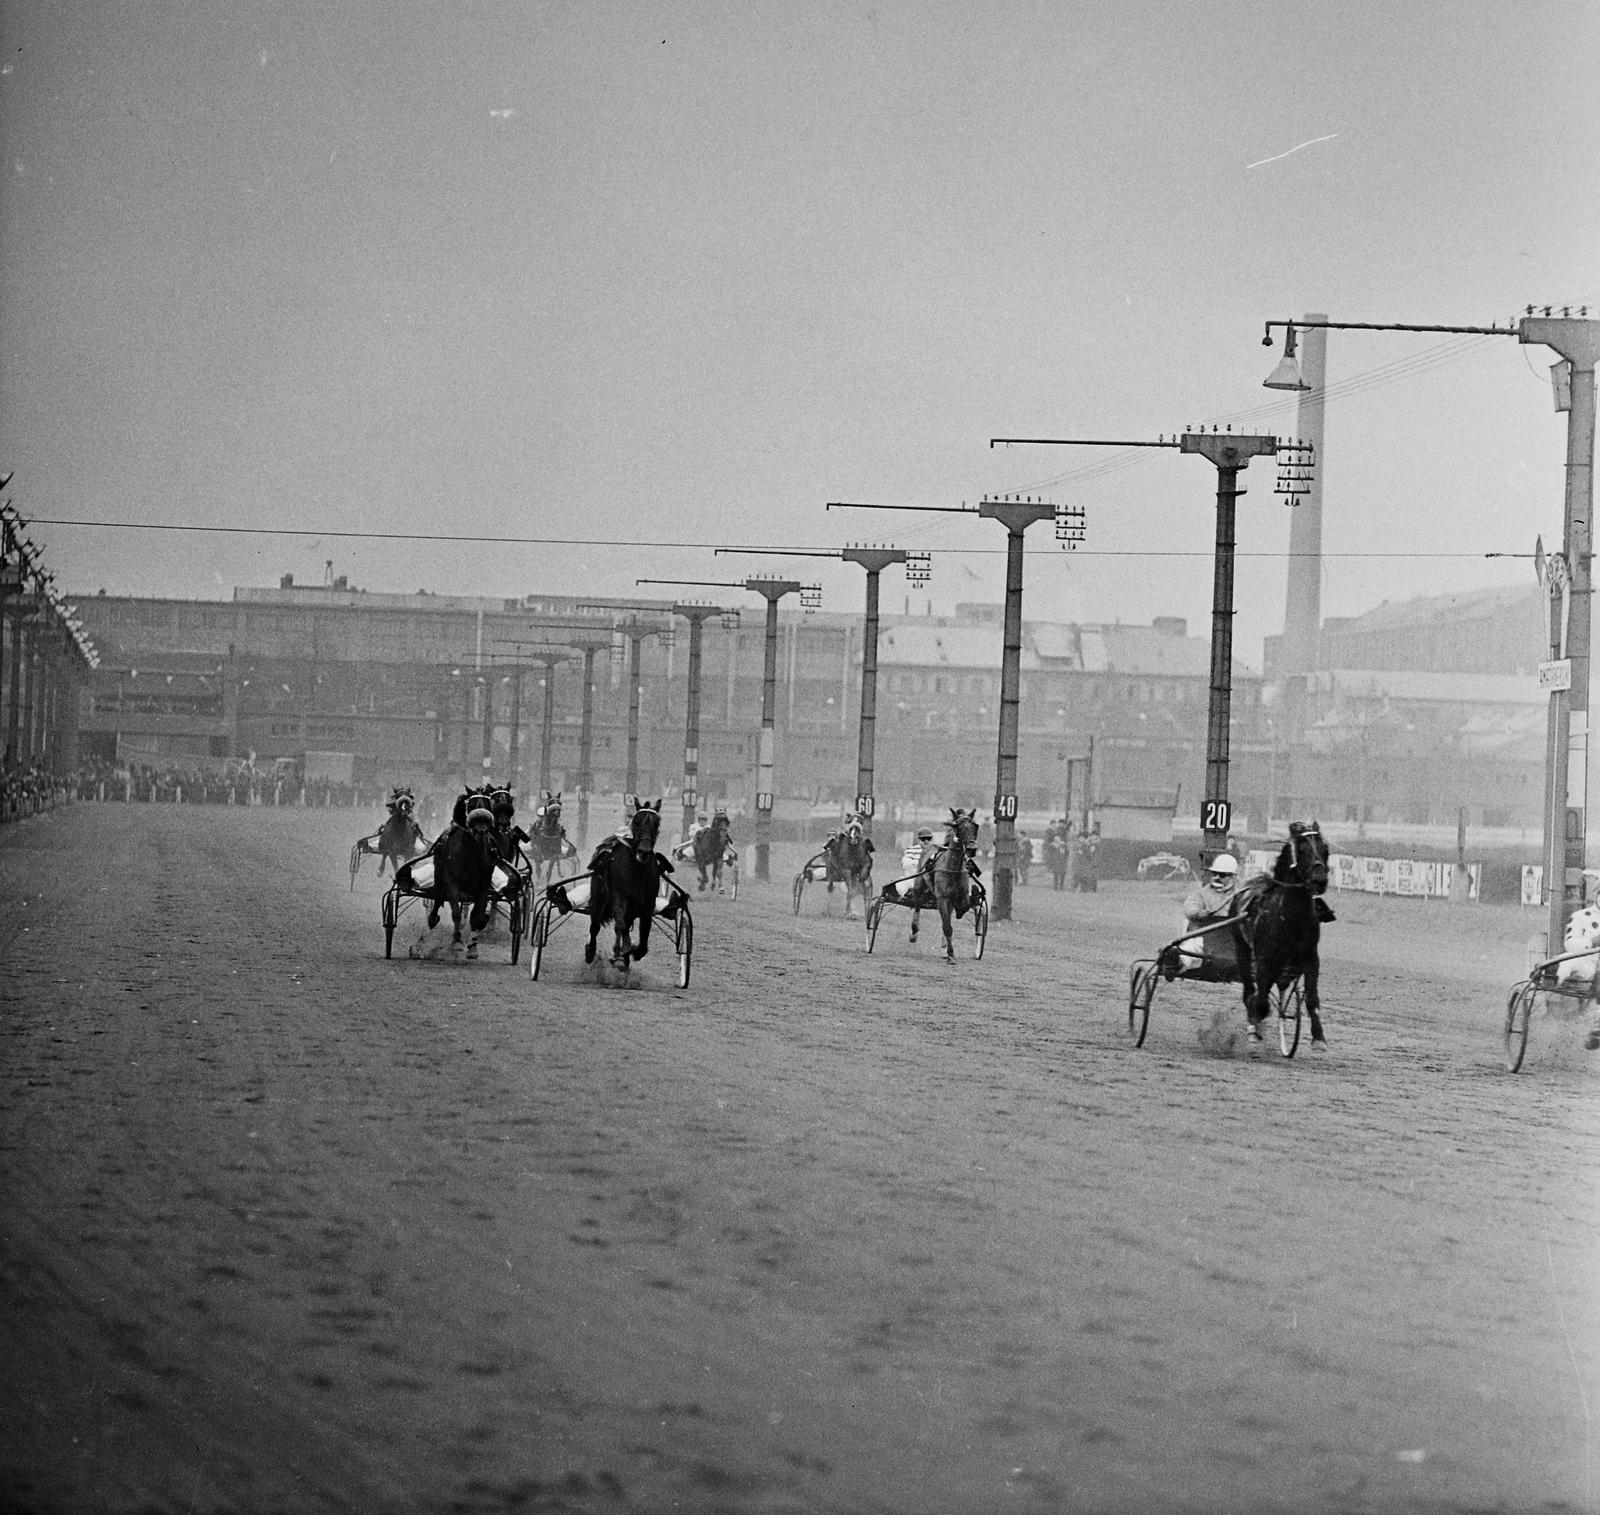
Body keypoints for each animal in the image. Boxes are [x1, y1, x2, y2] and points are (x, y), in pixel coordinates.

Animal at [585, 799, 672, 979]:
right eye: (636, 822)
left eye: (657, 823)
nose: (644, 851)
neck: (636, 870)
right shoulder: (619, 897)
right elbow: (620, 925)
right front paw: (623, 952)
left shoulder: (647, 904)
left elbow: (644, 932)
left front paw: (634, 952)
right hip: (599, 897)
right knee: (595, 924)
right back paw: (591, 952)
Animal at [1228, 825, 1331, 1049]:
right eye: (1301, 849)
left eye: (1325, 848)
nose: (1320, 880)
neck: (1292, 917)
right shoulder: (1264, 961)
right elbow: (1261, 1002)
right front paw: (1254, 1023)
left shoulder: (1311, 959)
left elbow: (1312, 999)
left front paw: (1318, 1037)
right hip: (1242, 950)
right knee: (1249, 989)